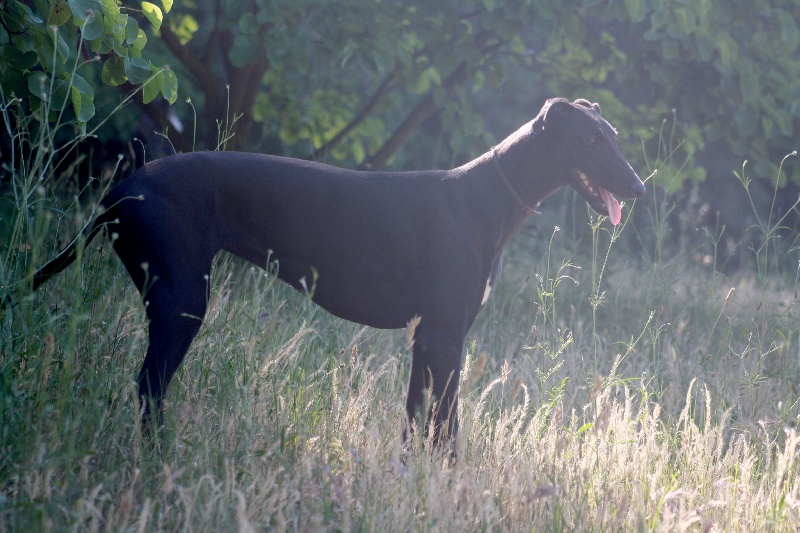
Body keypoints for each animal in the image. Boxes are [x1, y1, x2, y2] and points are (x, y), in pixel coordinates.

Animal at [31, 97, 645, 446]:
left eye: (614, 136)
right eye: (592, 140)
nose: (640, 188)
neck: (489, 196)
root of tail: (122, 190)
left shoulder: (426, 340)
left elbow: (416, 424)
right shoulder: (447, 337)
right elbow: (448, 431)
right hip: (181, 303)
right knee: (147, 390)